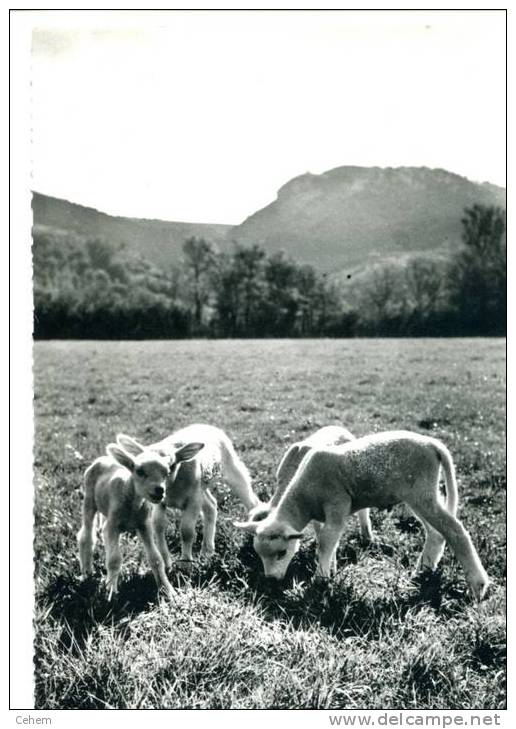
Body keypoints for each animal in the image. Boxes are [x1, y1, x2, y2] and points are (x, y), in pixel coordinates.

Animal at [78, 438, 204, 596]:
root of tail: (102, 458)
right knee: (86, 536)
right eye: (139, 471)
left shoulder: (144, 525)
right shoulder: (113, 527)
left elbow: (156, 558)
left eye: (167, 472)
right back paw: (87, 571)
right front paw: (111, 590)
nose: (160, 490)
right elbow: (114, 559)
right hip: (89, 500)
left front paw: (168, 590)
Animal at [118, 424, 260, 564]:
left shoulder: (193, 501)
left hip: (230, 466)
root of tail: (205, 425)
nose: (158, 489)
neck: (173, 489)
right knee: (211, 506)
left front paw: (186, 560)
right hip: (201, 487)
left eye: (171, 467)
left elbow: (186, 531)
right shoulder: (160, 503)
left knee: (249, 498)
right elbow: (158, 527)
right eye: (140, 471)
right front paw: (166, 561)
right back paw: (207, 551)